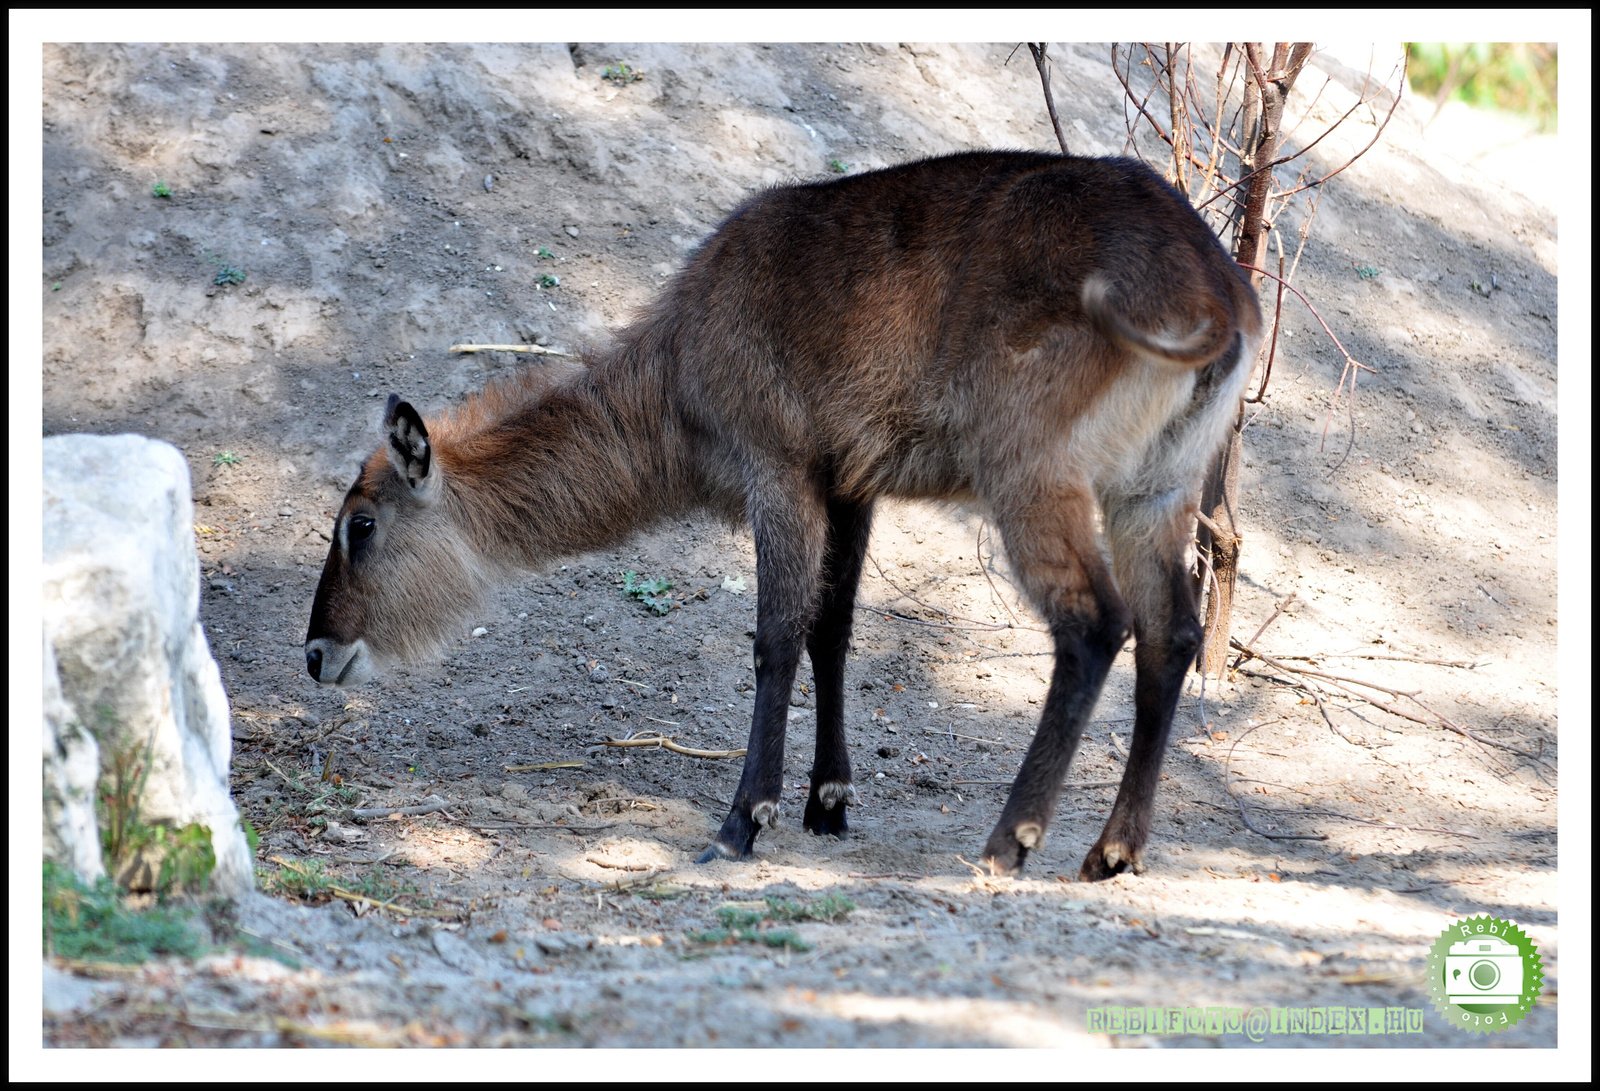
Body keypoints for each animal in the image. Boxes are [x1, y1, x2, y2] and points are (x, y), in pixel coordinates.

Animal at [305, 148, 1260, 876]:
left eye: (361, 524)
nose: (316, 652)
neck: (673, 372)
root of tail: (1220, 293)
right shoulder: (850, 483)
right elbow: (833, 628)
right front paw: (828, 800)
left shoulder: (779, 470)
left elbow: (775, 635)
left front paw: (743, 820)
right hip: (1155, 490)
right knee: (1172, 632)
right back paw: (1112, 852)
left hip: (1032, 476)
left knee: (1095, 624)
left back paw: (1007, 842)